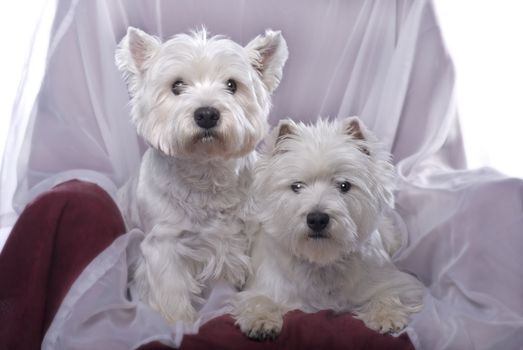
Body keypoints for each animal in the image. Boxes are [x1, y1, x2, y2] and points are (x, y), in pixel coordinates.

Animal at [114, 26, 288, 322]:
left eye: (231, 85)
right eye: (177, 86)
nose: (207, 114)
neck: (207, 173)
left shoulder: (253, 235)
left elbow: (261, 279)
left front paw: (259, 314)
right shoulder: (163, 247)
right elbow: (171, 295)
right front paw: (176, 325)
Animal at [233, 117, 426, 340]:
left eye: (344, 185)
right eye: (296, 186)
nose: (317, 219)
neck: (322, 261)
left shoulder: (395, 281)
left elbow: (388, 294)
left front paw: (387, 316)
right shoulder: (262, 287)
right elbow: (258, 300)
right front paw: (261, 321)